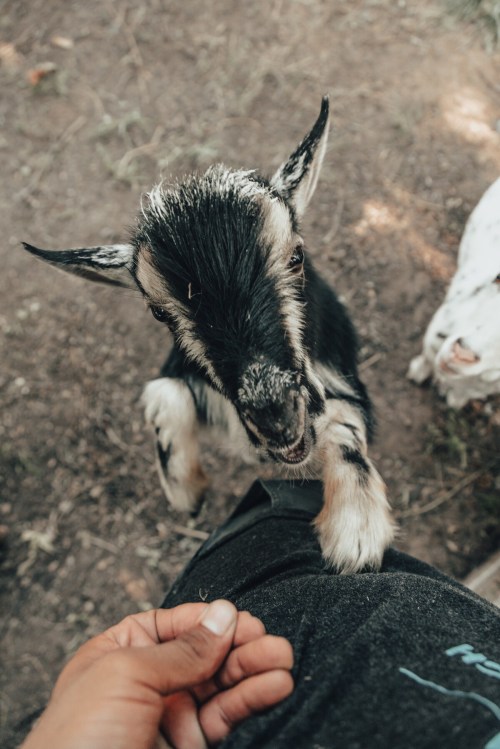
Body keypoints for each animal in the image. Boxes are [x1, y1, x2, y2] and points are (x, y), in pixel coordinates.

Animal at [22, 98, 395, 573]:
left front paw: (356, 530)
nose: (276, 419)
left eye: (296, 256)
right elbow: (165, 395)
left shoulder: (340, 378)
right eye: (159, 311)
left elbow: (346, 426)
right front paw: (188, 490)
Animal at [408, 177, 500, 408]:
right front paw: (418, 371)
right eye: (498, 277)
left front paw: (455, 400)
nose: (462, 354)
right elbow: (428, 356)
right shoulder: (435, 334)